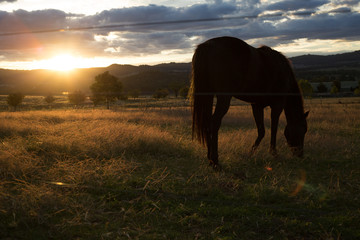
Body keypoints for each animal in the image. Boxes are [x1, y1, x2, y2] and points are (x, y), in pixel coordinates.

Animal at [190, 37, 308, 169]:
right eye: (304, 129)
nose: (300, 154)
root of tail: (208, 45)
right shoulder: (277, 106)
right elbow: (274, 128)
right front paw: (274, 153)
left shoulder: (257, 106)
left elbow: (261, 131)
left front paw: (250, 153)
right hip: (224, 98)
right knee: (214, 122)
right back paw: (215, 160)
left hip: (209, 95)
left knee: (207, 122)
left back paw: (210, 159)